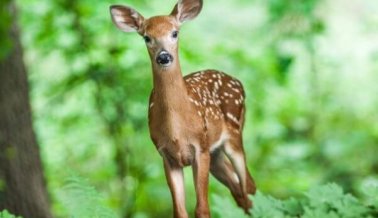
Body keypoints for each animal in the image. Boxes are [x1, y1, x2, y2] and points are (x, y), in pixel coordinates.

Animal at [109, 0, 256, 217]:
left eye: (175, 33)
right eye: (147, 37)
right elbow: (179, 211)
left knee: (248, 187)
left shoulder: (200, 148)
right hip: (216, 154)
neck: (177, 130)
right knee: (240, 190)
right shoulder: (166, 155)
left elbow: (202, 209)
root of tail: (238, 82)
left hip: (234, 136)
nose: (164, 57)